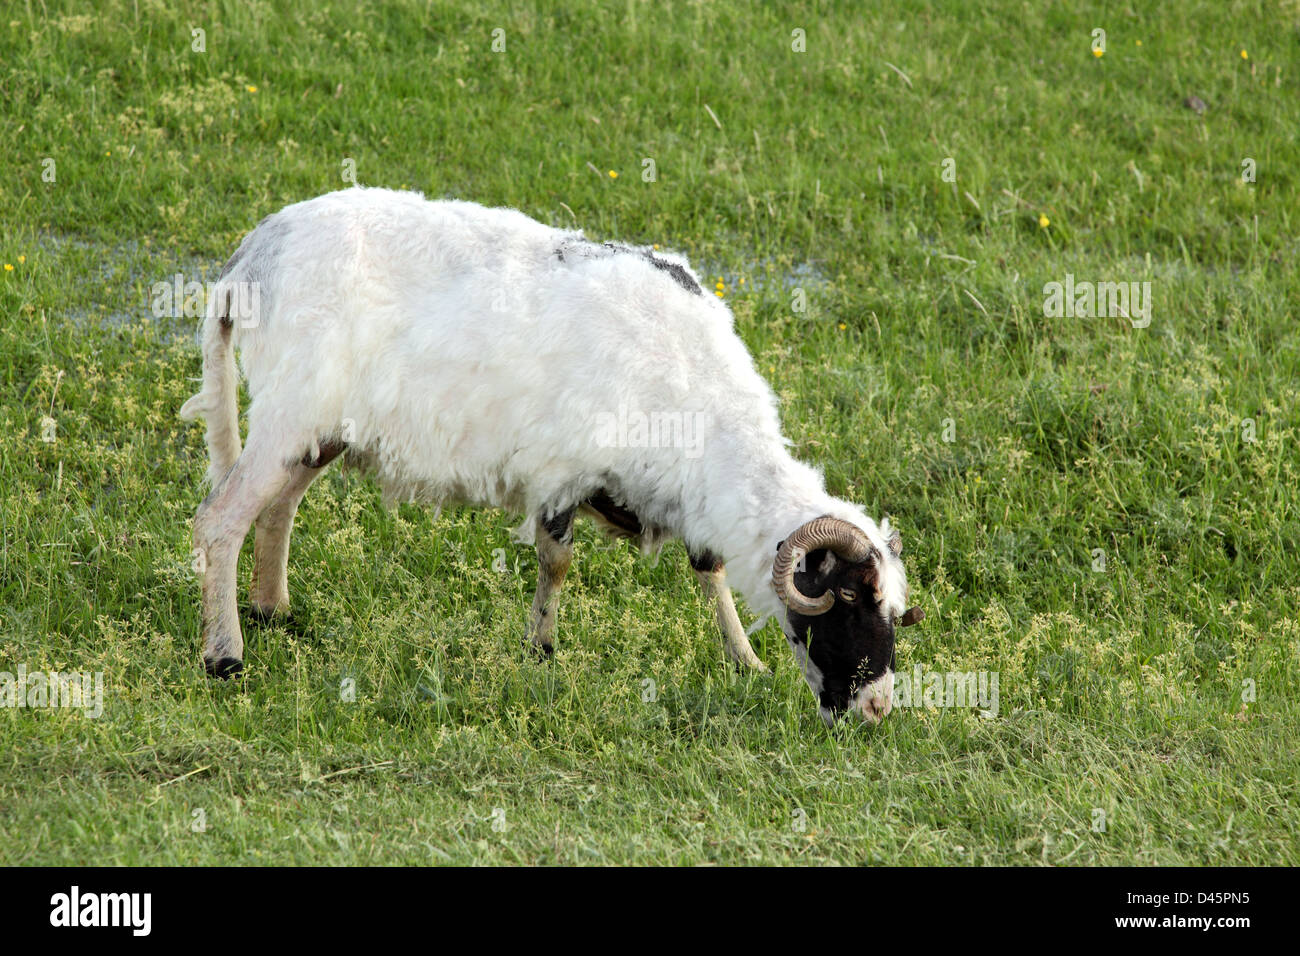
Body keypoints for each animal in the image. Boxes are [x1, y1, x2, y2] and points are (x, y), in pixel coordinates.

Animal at [180, 187, 923, 725]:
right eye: (848, 598)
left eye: (894, 612)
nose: (878, 710)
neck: (702, 402)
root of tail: (249, 258)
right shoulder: (563, 472)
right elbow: (556, 562)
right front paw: (541, 653)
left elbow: (707, 567)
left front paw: (745, 662)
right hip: (288, 409)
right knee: (222, 519)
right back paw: (225, 658)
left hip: (318, 426)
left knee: (279, 505)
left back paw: (274, 609)